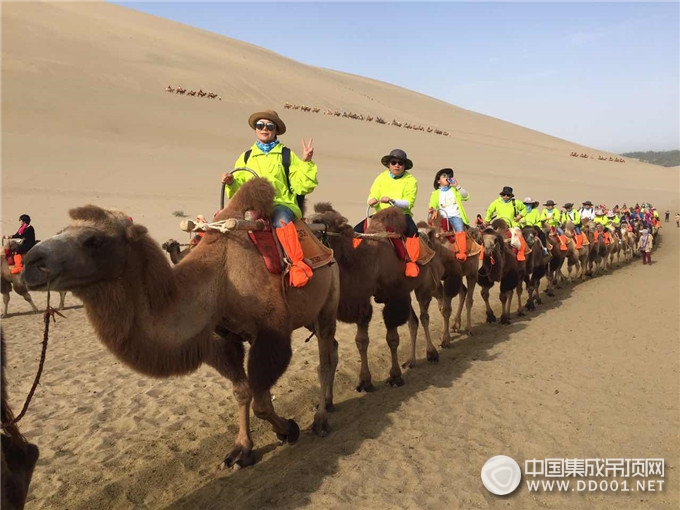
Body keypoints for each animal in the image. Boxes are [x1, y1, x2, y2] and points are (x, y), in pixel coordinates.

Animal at [21, 179, 342, 470]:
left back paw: (321, 420)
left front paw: (288, 429)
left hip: (328, 300)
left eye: (93, 240)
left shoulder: (271, 332)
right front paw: (242, 450)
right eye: (61, 231)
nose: (30, 262)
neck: (220, 278)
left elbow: (262, 401)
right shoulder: (222, 338)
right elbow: (242, 392)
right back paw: (328, 404)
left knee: (325, 358)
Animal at [310, 203, 460, 390]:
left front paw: (395, 376)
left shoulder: (393, 297)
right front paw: (365, 381)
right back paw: (411, 360)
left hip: (424, 285)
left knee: (425, 315)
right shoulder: (363, 300)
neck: (369, 261)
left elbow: (392, 339)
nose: (308, 224)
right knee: (414, 321)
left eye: (323, 221)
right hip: (407, 291)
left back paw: (433, 352)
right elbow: (361, 341)